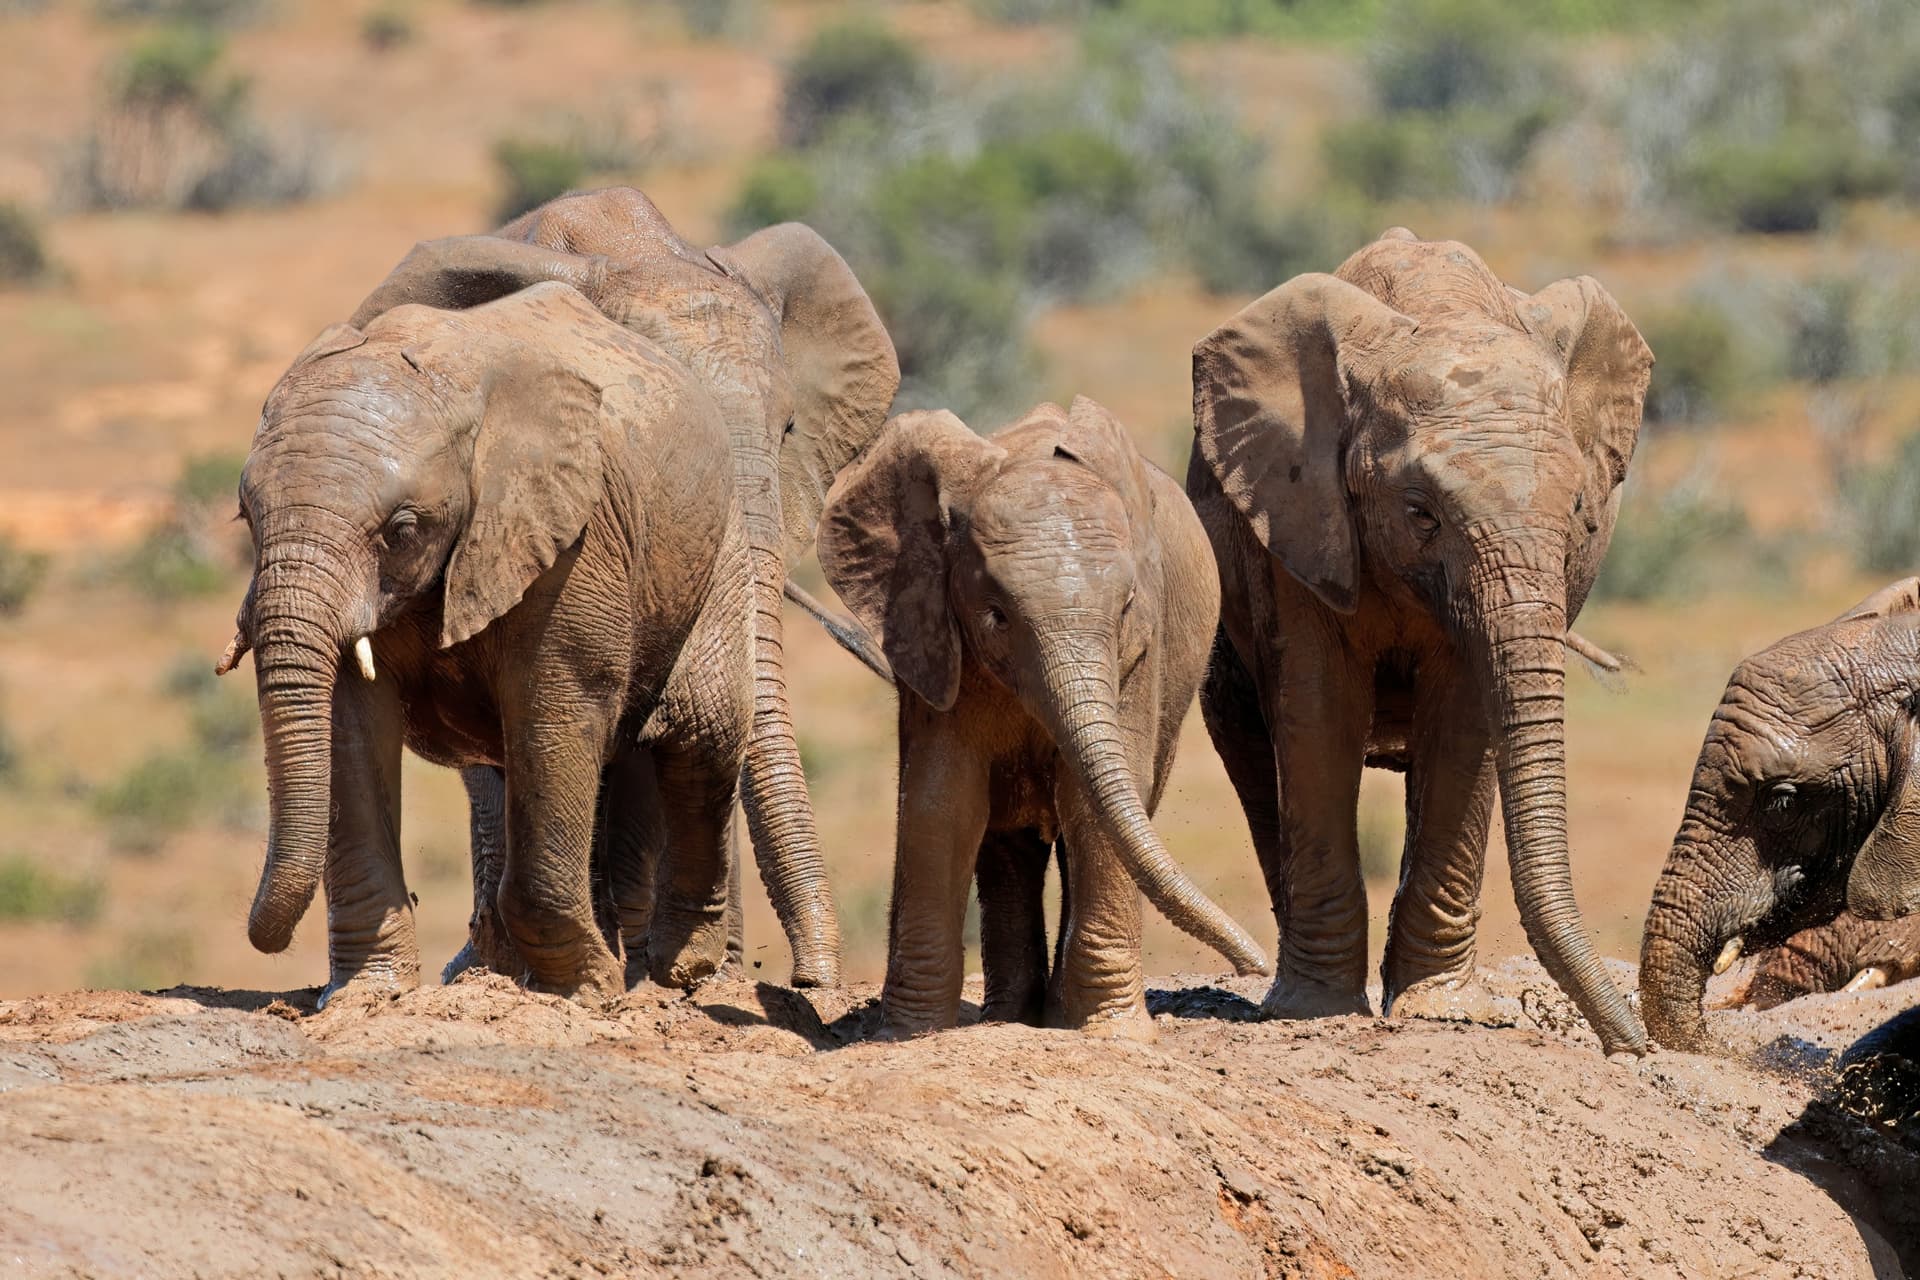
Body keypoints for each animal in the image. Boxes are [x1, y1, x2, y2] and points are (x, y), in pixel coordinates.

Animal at [226, 281, 753, 1002]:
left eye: (402, 529)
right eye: (247, 517)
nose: (262, 937)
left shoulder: (574, 530)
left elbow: (555, 707)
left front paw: (589, 986)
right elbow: (349, 726)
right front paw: (369, 993)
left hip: (716, 549)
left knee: (701, 737)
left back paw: (683, 969)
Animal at [816, 397, 1269, 1041]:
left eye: (1127, 607)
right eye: (996, 616)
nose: (1256, 964)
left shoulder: (1141, 654)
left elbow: (1090, 798)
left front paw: (1111, 1032)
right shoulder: (928, 629)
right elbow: (942, 799)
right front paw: (907, 1035)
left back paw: (1048, 1016)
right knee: (1009, 839)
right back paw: (1014, 1017)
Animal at [1188, 227, 1654, 1056]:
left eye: (1579, 510)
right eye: (1419, 511)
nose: (1637, 1047)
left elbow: (1464, 722)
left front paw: (1442, 1011)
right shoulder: (1301, 518)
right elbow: (1319, 714)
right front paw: (1317, 1011)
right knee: (1250, 752)